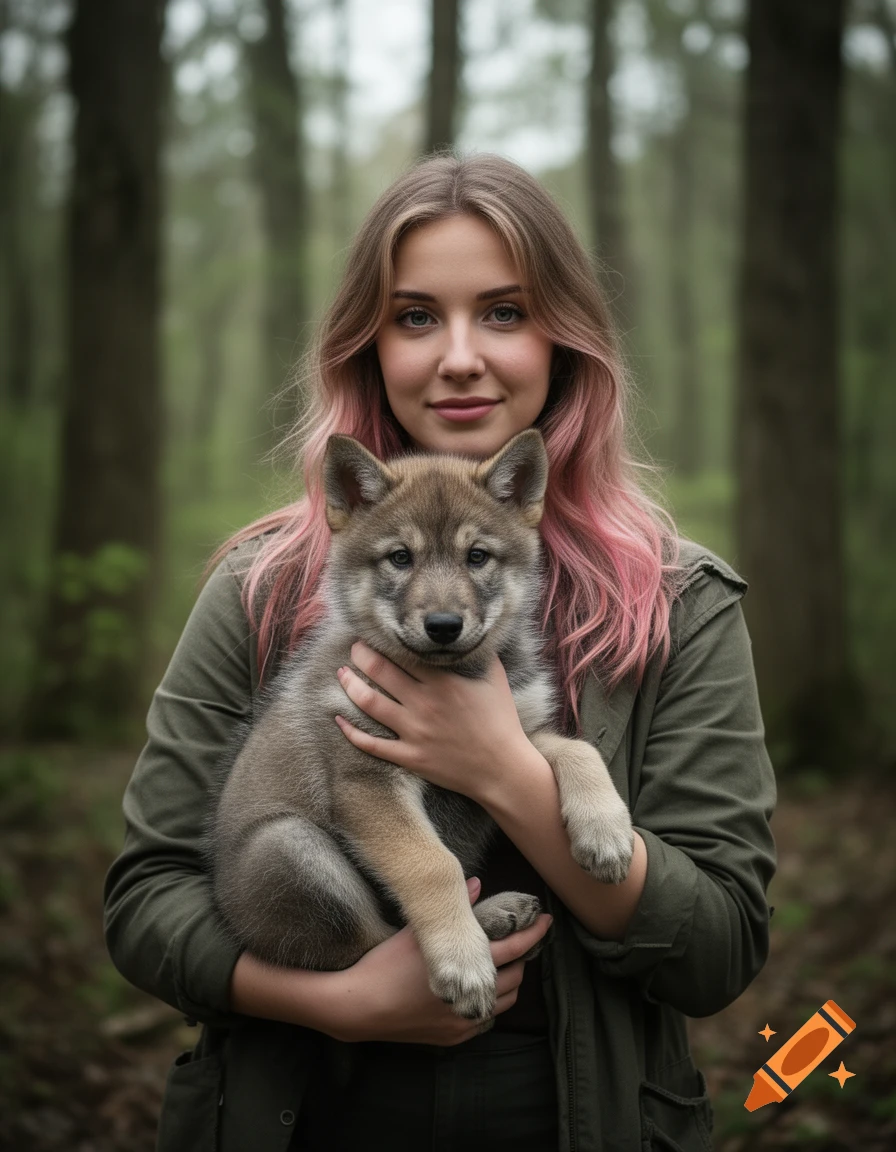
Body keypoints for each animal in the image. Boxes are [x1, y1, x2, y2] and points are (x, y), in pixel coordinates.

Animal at [211, 429, 634, 1021]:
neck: (455, 675)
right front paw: (463, 961)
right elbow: (434, 865)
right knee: (372, 944)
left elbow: (577, 750)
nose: (443, 625)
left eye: (477, 556)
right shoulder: (368, 781)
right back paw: (481, 929)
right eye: (400, 557)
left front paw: (606, 828)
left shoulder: (518, 736)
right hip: (289, 849)